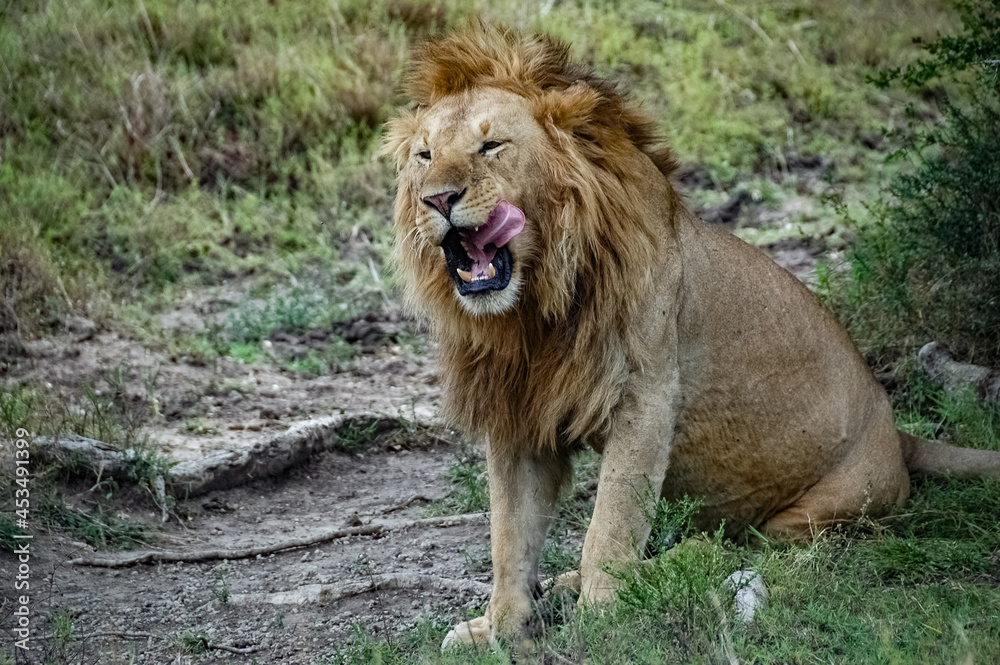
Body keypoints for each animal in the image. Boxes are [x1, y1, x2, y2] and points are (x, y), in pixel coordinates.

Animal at [380, 26, 1000, 648]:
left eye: (491, 146)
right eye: (425, 155)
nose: (438, 199)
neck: (533, 312)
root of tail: (899, 436)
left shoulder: (645, 395)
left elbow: (613, 518)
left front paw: (605, 612)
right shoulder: (518, 410)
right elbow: (510, 533)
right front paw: (502, 628)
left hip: (810, 516)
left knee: (741, 546)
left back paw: (654, 570)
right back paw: (563, 586)